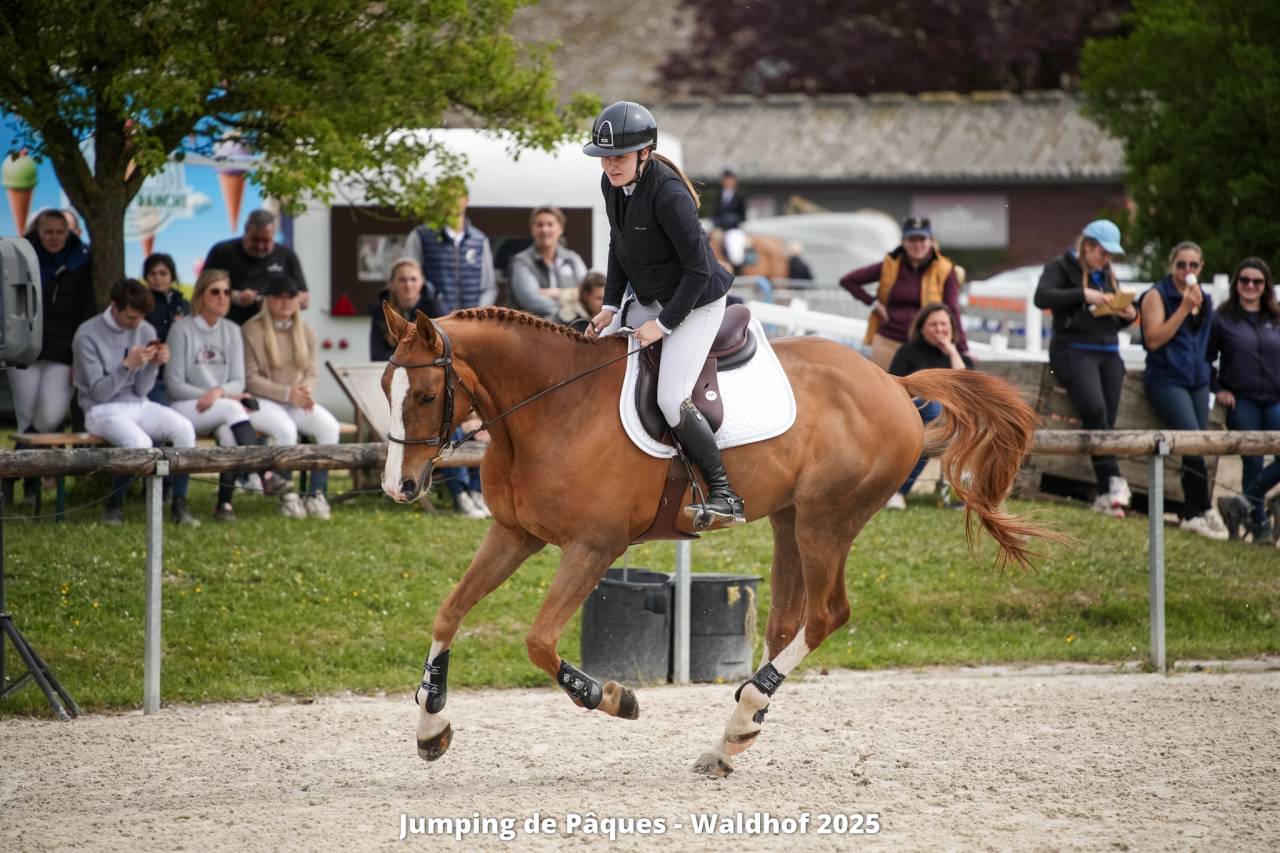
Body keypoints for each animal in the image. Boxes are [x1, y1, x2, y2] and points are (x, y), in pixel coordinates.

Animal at [380, 304, 1051, 777]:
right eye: (386, 386)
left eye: (424, 395)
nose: (400, 486)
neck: (549, 409)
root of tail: (891, 381)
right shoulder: (514, 534)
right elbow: (449, 613)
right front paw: (430, 726)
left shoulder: (593, 548)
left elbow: (540, 642)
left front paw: (612, 697)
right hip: (789, 521)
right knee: (786, 623)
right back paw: (735, 736)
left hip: (827, 519)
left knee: (826, 614)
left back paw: (742, 716)